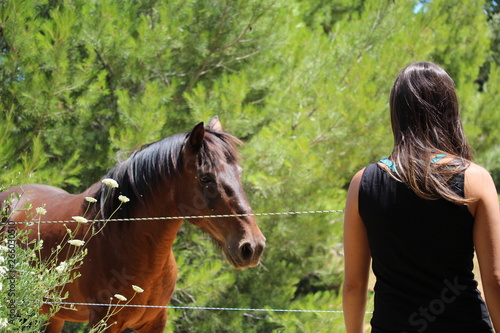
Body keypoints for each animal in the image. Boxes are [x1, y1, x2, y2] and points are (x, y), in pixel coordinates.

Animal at [0, 116, 266, 330]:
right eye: (205, 178)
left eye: (239, 173)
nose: (252, 246)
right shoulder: (105, 323)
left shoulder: (155, 322)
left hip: (51, 316)